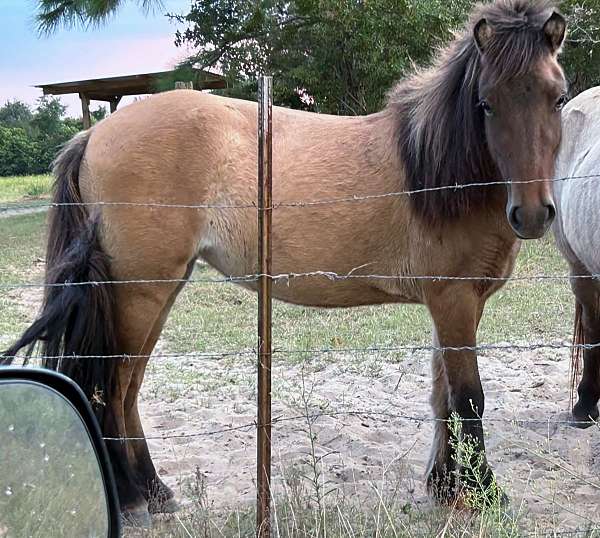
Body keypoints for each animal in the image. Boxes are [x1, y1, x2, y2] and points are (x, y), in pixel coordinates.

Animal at [3, 0, 568, 520]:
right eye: (486, 103)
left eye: (558, 98)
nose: (532, 213)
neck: (434, 169)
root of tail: (94, 133)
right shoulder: (454, 301)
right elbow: (468, 397)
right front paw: (483, 493)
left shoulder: (453, 306)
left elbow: (441, 397)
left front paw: (448, 486)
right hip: (139, 294)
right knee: (112, 388)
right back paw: (133, 497)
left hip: (157, 292)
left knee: (127, 390)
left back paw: (153, 491)